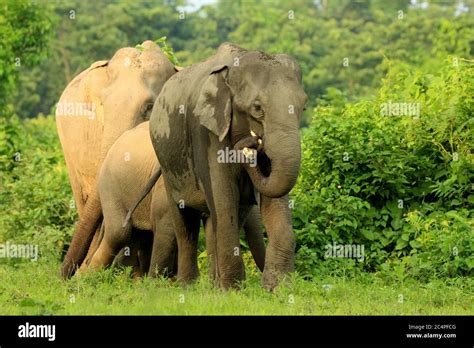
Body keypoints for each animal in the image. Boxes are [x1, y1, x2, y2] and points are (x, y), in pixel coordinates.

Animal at [143, 42, 308, 290]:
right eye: (257, 108)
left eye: (303, 107)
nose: (251, 145)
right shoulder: (206, 133)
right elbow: (224, 196)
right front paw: (233, 289)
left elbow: (275, 197)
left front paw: (278, 289)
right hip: (167, 166)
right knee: (185, 224)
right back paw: (188, 286)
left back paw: (212, 285)